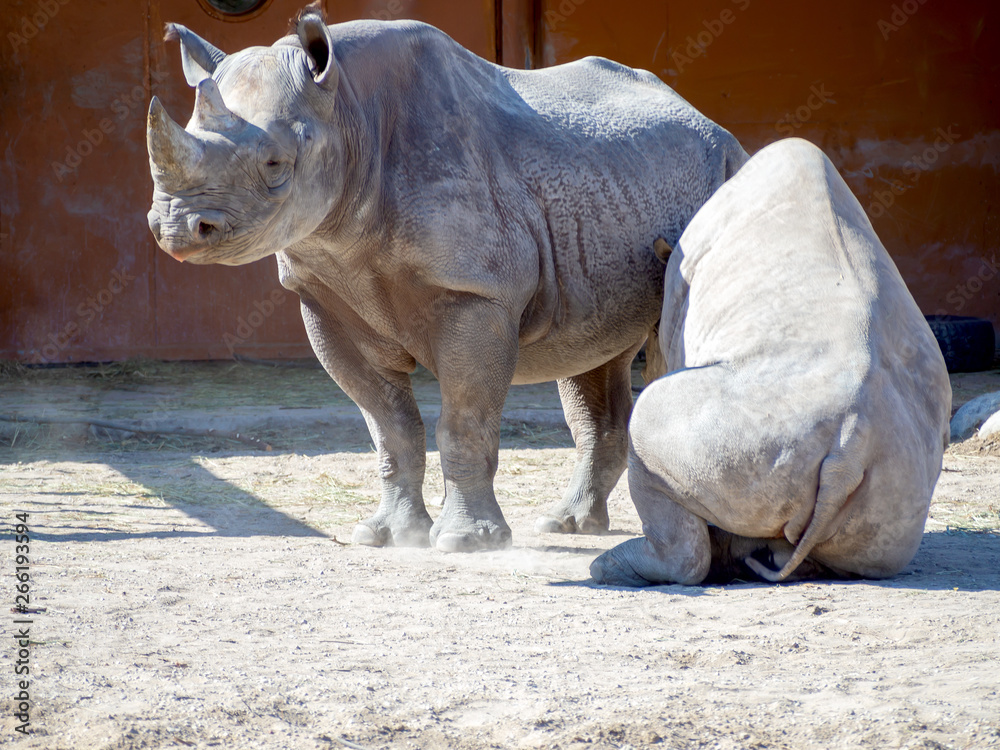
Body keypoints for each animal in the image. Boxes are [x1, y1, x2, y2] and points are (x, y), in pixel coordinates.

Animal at [146, 6, 748, 552]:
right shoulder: (323, 297)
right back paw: (568, 525)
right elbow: (390, 426)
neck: (348, 113)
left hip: (721, 173)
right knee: (592, 358)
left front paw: (467, 542)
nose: (175, 227)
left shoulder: (474, 292)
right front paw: (387, 536)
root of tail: (714, 125)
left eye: (274, 164)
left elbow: (462, 421)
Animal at [591, 138, 952, 585]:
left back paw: (610, 567)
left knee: (648, 419)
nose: (646, 366)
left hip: (737, 431)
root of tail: (851, 449)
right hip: (896, 484)